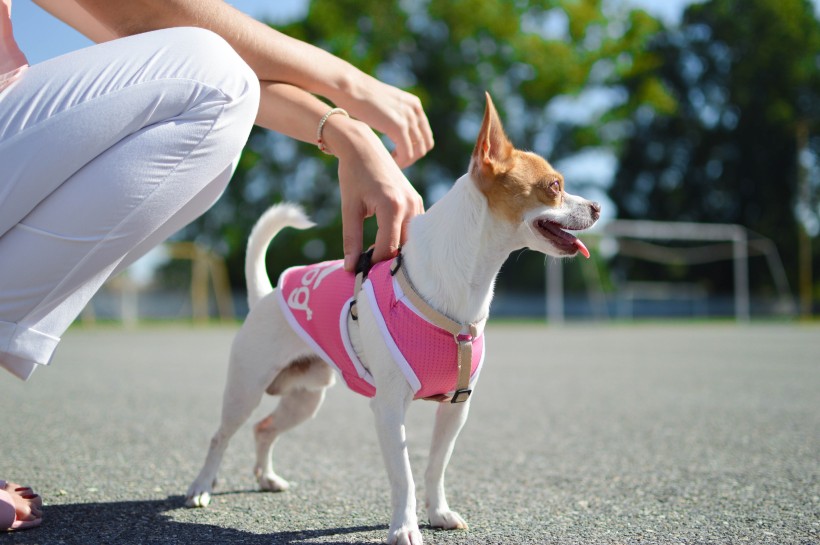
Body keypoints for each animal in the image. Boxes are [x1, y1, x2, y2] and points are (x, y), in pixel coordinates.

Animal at [186, 93, 600, 544]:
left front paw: (438, 512)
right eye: (555, 186)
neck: (467, 288)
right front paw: (404, 527)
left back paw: (266, 477)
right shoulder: (388, 409)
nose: (597, 206)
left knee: (263, 429)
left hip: (305, 397)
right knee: (220, 435)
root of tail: (267, 294)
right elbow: (403, 475)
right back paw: (201, 488)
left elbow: (436, 466)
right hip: (246, 388)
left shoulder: (456, 408)